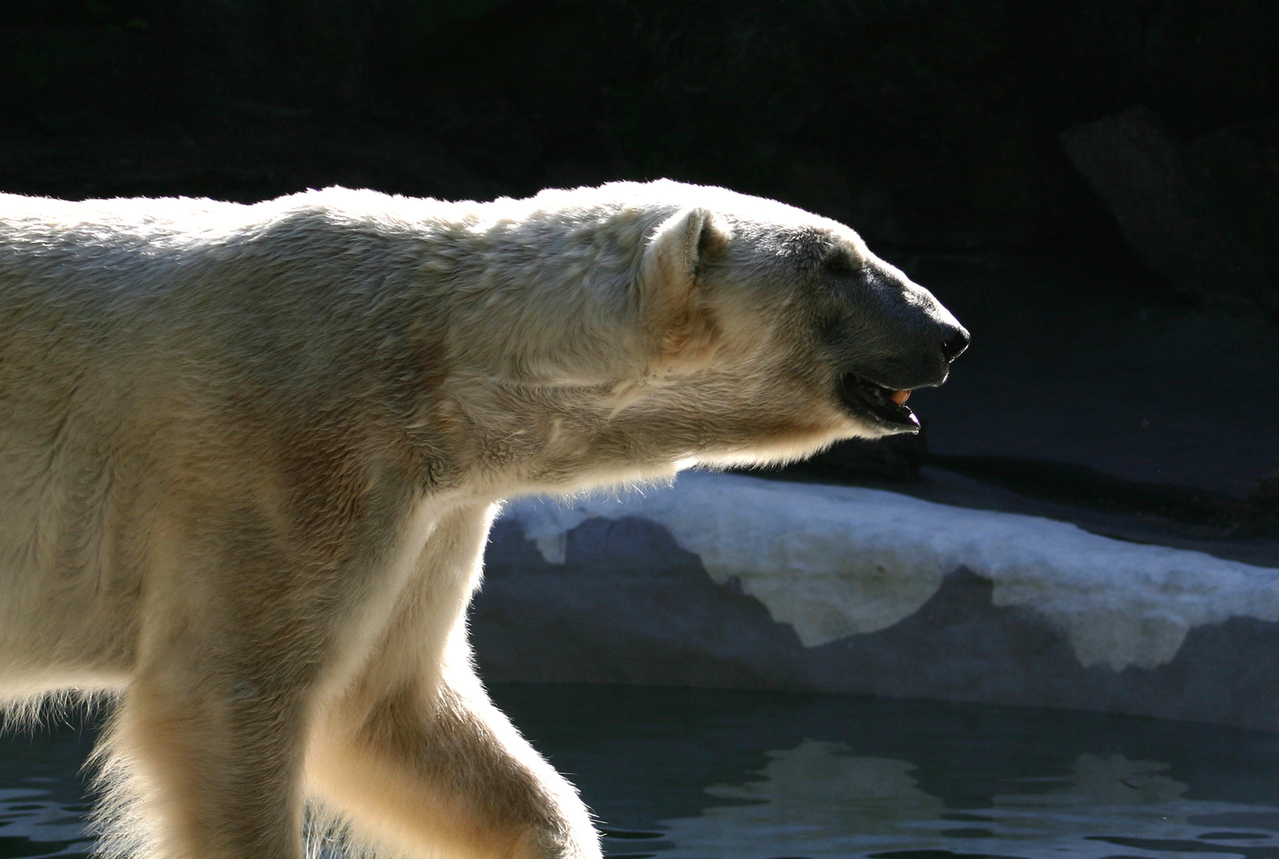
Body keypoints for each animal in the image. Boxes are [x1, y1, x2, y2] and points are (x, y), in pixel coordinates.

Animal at [0, 177, 961, 853]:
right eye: (835, 263)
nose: (949, 333)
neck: (443, 365)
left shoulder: (427, 504)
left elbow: (387, 710)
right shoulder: (287, 451)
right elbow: (228, 691)